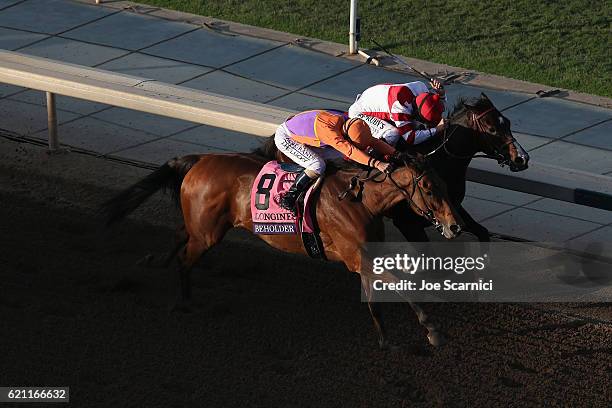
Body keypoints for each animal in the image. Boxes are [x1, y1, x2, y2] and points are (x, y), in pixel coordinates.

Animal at [103, 153, 462, 348]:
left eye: (444, 184)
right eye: (428, 187)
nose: (454, 225)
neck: (362, 200)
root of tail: (200, 159)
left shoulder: (366, 256)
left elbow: (377, 299)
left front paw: (387, 339)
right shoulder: (355, 257)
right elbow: (399, 286)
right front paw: (433, 331)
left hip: (202, 226)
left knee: (180, 236)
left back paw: (153, 261)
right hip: (208, 234)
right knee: (184, 258)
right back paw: (182, 301)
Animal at [392, 93, 532, 242]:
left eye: (508, 123)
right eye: (492, 130)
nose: (522, 158)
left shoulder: (454, 210)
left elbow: (482, 232)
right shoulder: (408, 224)